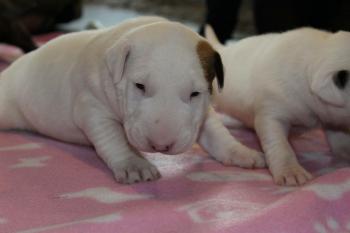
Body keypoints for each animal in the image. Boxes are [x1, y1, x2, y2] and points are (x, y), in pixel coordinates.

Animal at [0, 16, 264, 184]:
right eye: (140, 86)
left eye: (195, 93)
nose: (161, 146)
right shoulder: (92, 108)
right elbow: (113, 138)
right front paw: (133, 164)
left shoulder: (203, 112)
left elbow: (216, 132)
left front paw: (241, 152)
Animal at [206, 25, 350, 186]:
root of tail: (221, 48)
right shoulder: (271, 115)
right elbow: (280, 145)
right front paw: (291, 172)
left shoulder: (330, 116)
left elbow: (338, 136)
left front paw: (345, 151)